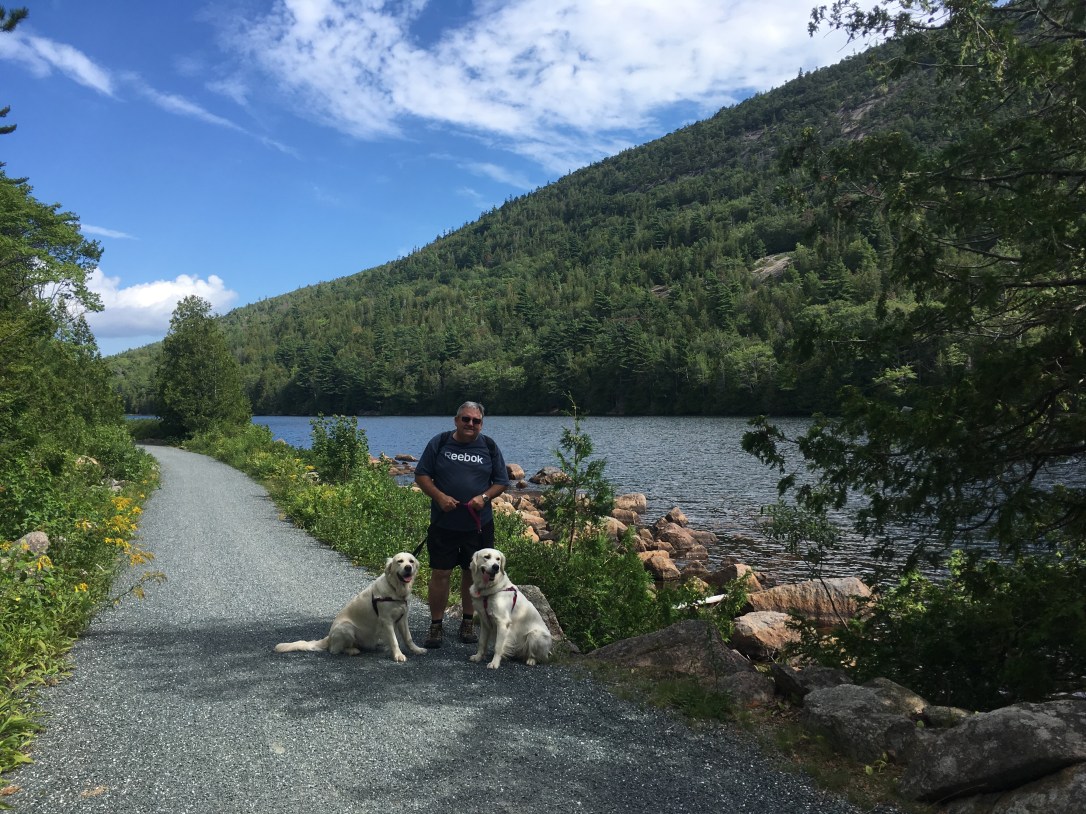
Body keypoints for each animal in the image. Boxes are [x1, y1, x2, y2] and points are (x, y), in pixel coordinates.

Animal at [274, 552, 426, 663]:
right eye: (399, 561)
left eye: (411, 561)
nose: (408, 568)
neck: (395, 590)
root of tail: (329, 637)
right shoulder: (386, 620)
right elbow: (394, 640)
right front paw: (398, 655)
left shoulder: (403, 618)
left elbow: (408, 637)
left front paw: (417, 649)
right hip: (346, 627)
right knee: (334, 650)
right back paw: (352, 650)